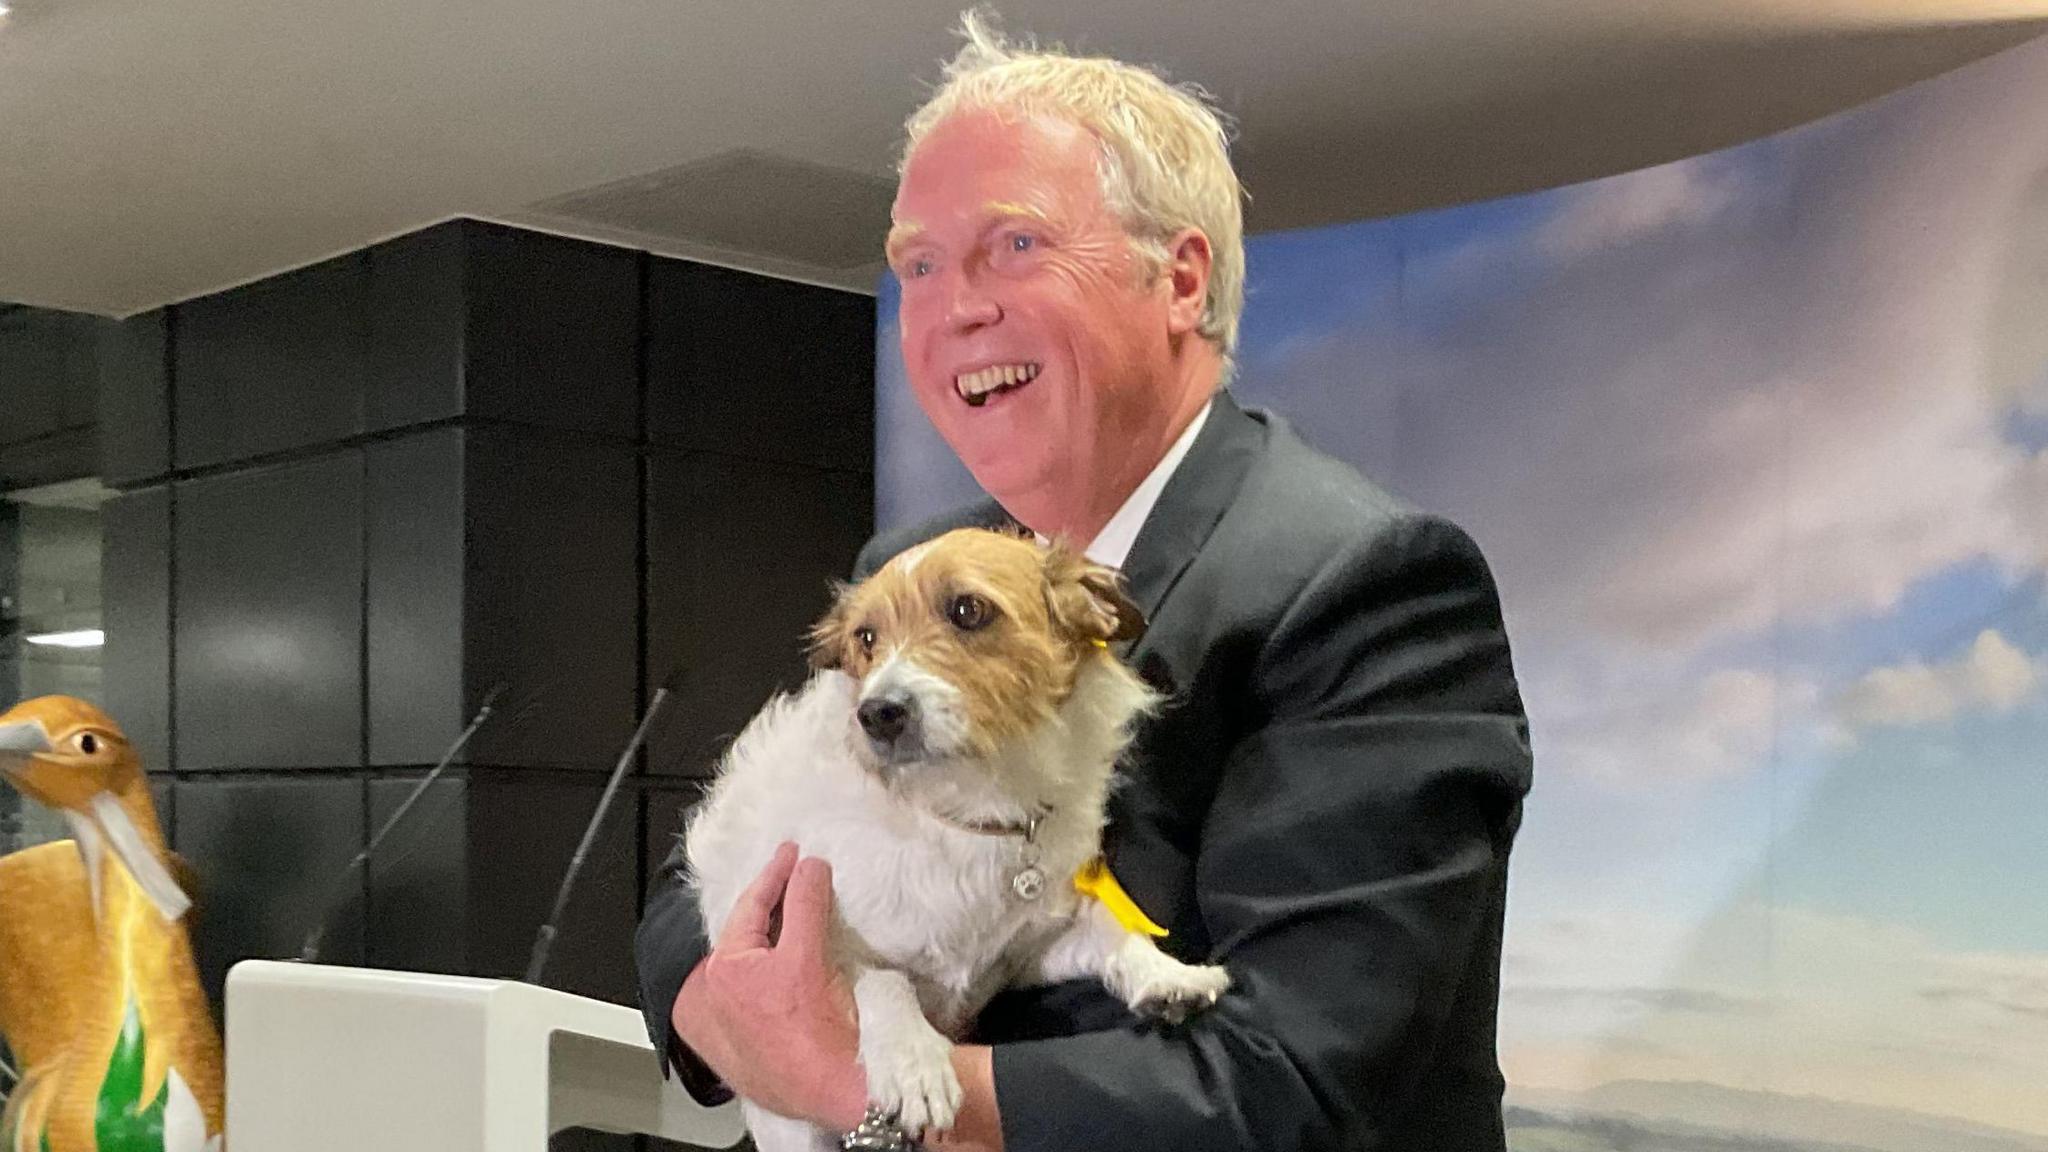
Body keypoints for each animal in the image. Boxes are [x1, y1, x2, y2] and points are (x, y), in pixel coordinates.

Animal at [688, 528, 1228, 1147]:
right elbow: (884, 981)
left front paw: (1168, 974)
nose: (877, 713)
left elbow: (1107, 926)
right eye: (865, 638)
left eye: (968, 610)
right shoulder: (813, 950)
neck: (972, 806)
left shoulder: (1026, 955)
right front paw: (914, 1066)